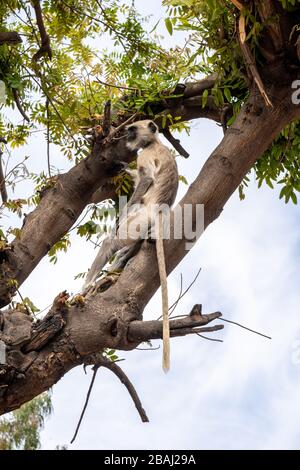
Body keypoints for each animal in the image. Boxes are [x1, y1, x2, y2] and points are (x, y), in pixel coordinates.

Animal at [82, 119, 178, 372]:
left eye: (133, 130)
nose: (127, 136)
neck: (155, 143)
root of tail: (160, 213)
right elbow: (136, 176)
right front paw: (122, 165)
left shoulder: (146, 155)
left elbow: (146, 180)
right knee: (127, 248)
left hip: (138, 222)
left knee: (111, 241)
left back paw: (85, 288)